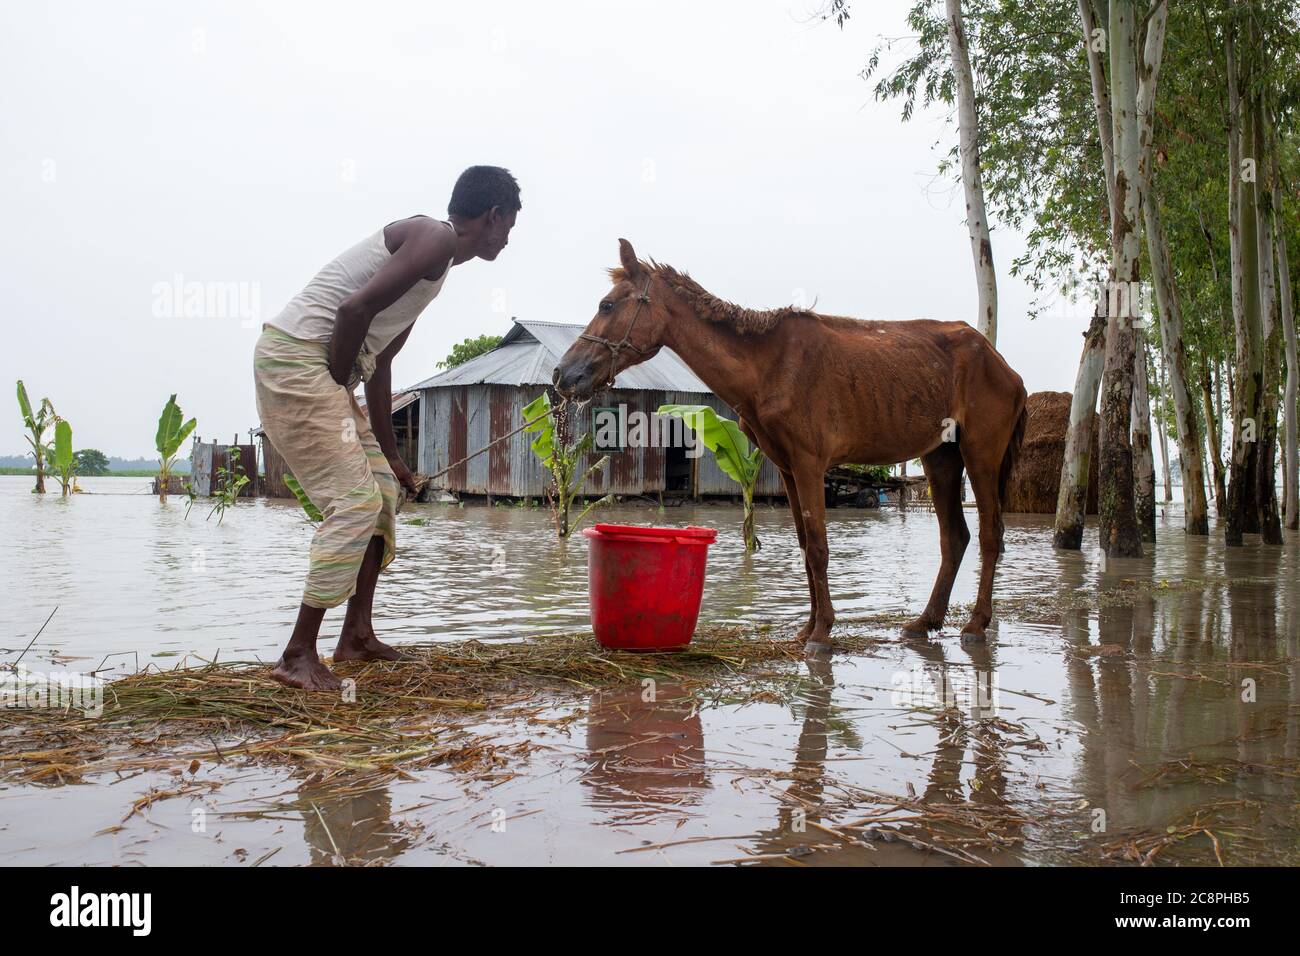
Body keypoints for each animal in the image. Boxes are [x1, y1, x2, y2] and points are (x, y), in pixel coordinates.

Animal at [553, 240, 1019, 650]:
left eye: (607, 305)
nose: (563, 375)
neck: (768, 366)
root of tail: (1002, 365)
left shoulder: (810, 464)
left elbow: (819, 546)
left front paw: (822, 633)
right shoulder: (788, 468)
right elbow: (804, 545)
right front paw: (809, 626)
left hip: (980, 454)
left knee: (990, 535)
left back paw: (976, 624)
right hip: (941, 457)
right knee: (955, 538)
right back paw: (925, 622)